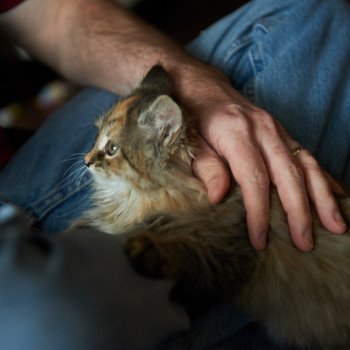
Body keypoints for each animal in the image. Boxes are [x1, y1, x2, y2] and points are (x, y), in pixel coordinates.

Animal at [74, 65, 350, 350]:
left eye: (112, 148)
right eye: (96, 137)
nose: (86, 161)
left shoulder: (226, 254)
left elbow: (184, 256)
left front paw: (143, 248)